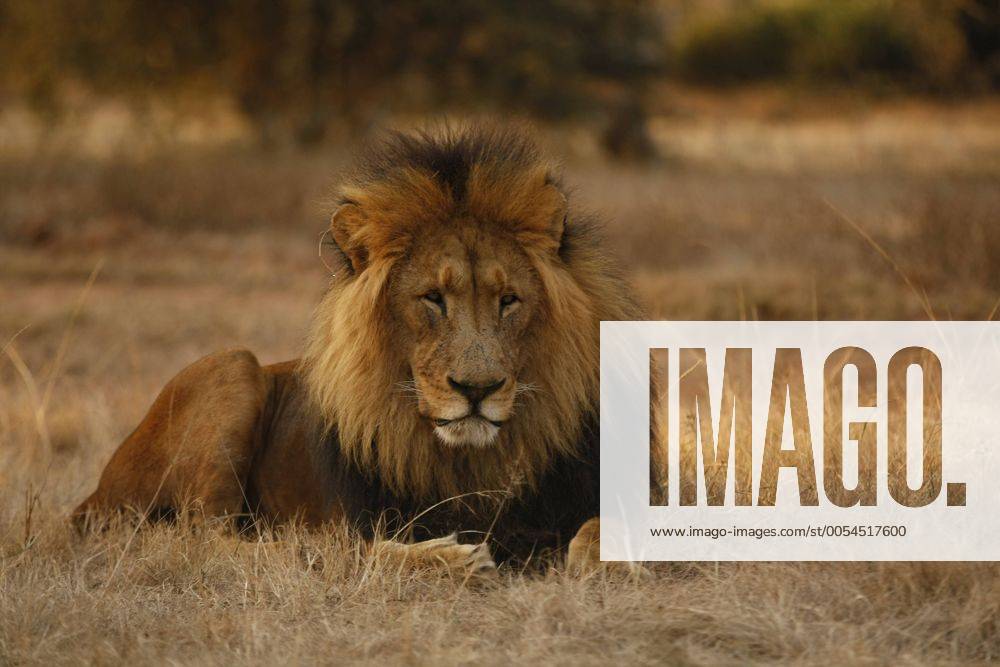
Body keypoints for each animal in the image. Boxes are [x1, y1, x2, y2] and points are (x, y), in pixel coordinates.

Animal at [73, 125, 645, 577]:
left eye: (508, 301)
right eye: (432, 298)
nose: (477, 390)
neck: (471, 462)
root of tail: (90, 496)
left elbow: (598, 535)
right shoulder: (362, 517)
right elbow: (353, 546)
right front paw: (458, 555)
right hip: (232, 366)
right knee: (229, 542)